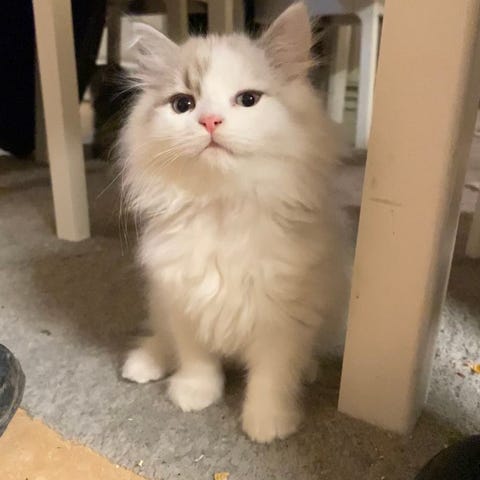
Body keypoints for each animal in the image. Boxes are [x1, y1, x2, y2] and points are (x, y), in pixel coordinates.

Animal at [120, 2, 350, 443]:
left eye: (248, 99)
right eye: (183, 105)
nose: (210, 121)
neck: (223, 207)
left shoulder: (284, 316)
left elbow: (272, 376)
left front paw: (268, 423)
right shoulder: (183, 297)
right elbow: (196, 358)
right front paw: (195, 393)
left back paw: (309, 371)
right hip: (159, 298)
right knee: (163, 337)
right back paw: (143, 363)